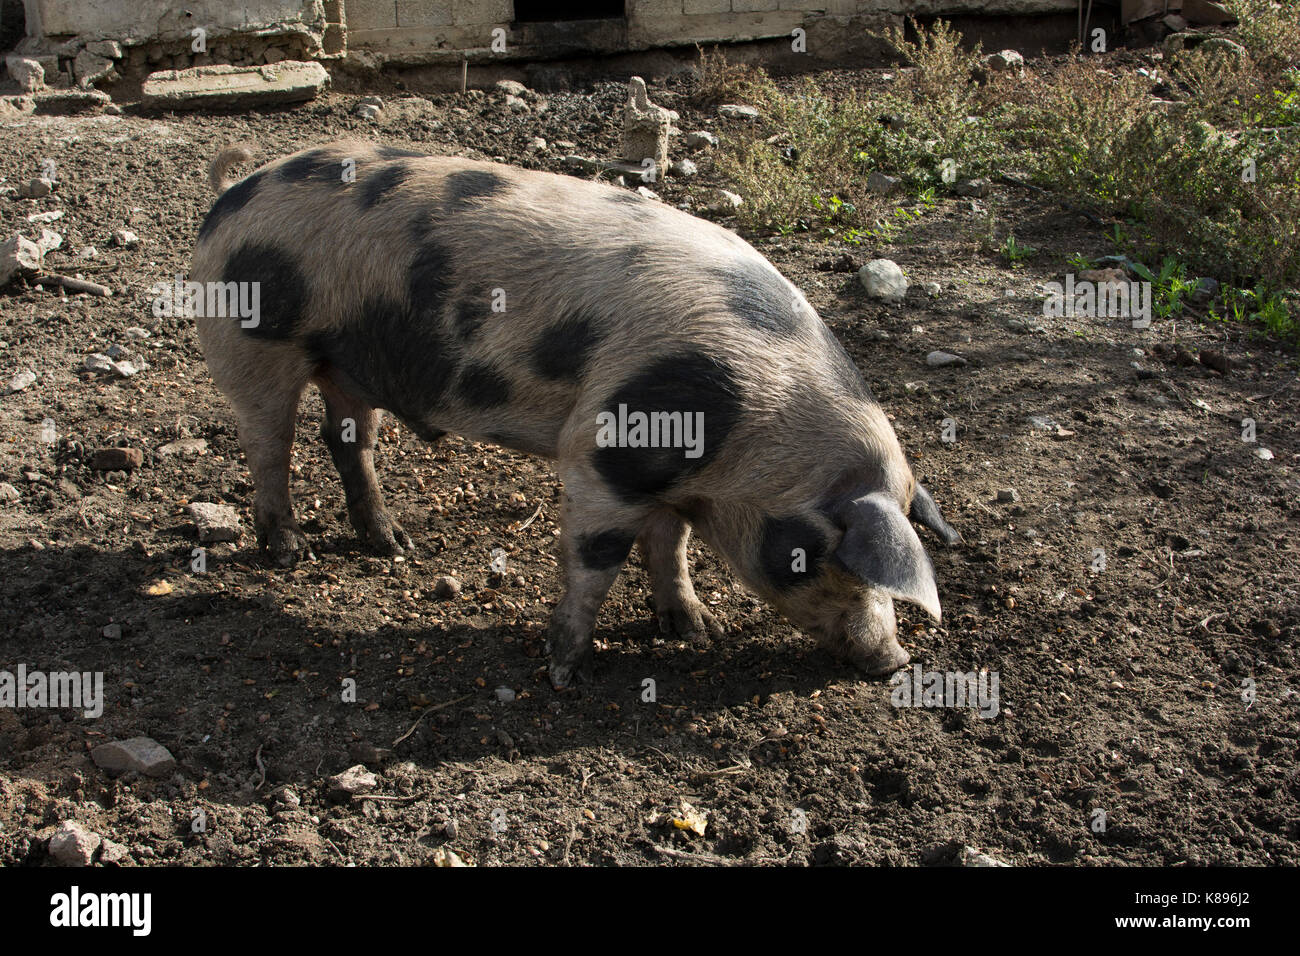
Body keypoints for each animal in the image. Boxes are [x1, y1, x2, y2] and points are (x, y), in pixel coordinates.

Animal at [195, 138, 967, 686]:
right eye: (821, 555)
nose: (894, 662)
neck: (748, 433)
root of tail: (233, 193)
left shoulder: (664, 476)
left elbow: (670, 547)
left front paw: (696, 629)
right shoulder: (602, 456)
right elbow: (598, 561)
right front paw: (565, 668)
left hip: (348, 364)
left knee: (346, 438)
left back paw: (394, 544)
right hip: (255, 339)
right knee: (268, 441)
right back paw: (287, 549)